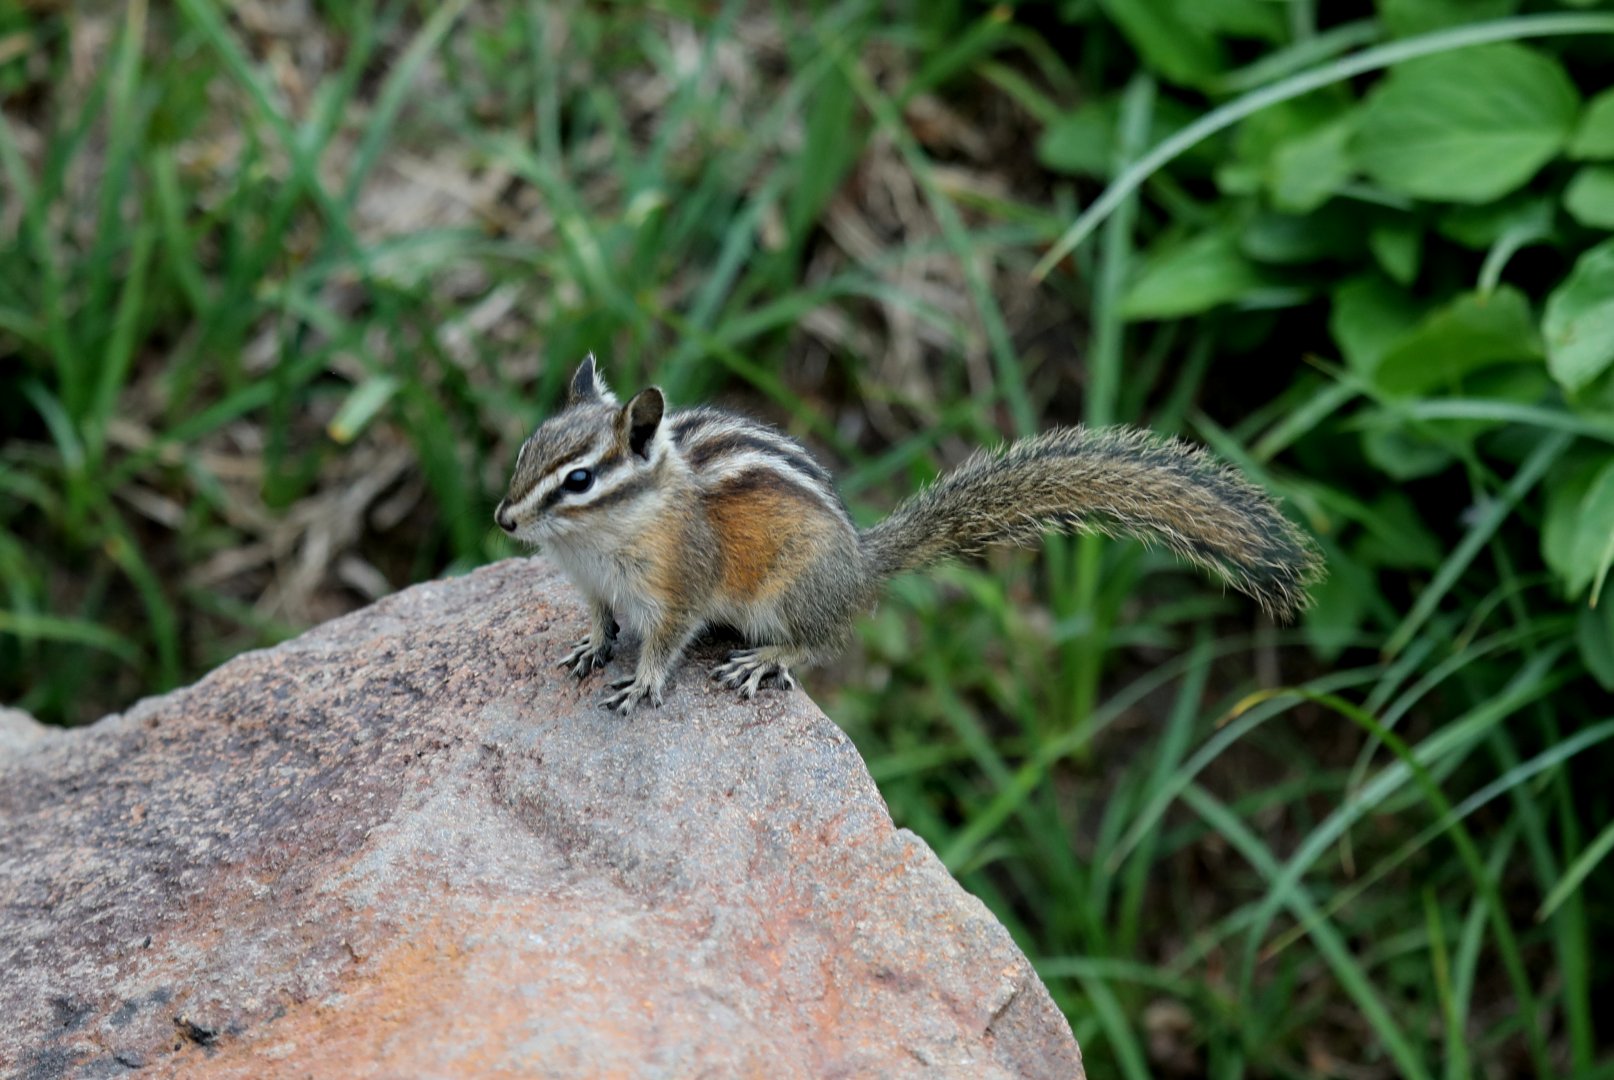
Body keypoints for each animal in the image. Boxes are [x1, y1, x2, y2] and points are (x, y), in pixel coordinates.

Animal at [495, 355, 1324, 713]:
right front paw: (592, 647)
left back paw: (766, 660)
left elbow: (667, 641)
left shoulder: (678, 586)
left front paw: (643, 681)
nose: (503, 518)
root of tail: (863, 565)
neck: (598, 541)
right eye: (526, 449)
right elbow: (600, 621)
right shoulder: (593, 586)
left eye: (579, 480)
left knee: (821, 642)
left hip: (787, 596)